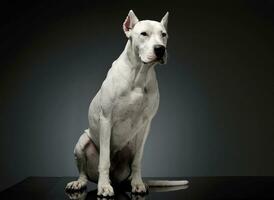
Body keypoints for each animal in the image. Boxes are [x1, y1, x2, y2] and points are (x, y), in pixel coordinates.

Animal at [65, 10, 187, 197]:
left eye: (164, 34)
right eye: (144, 34)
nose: (160, 49)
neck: (140, 73)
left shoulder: (145, 125)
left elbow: (137, 161)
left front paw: (137, 184)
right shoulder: (106, 119)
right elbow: (104, 160)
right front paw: (103, 187)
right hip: (82, 141)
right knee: (84, 172)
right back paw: (81, 183)